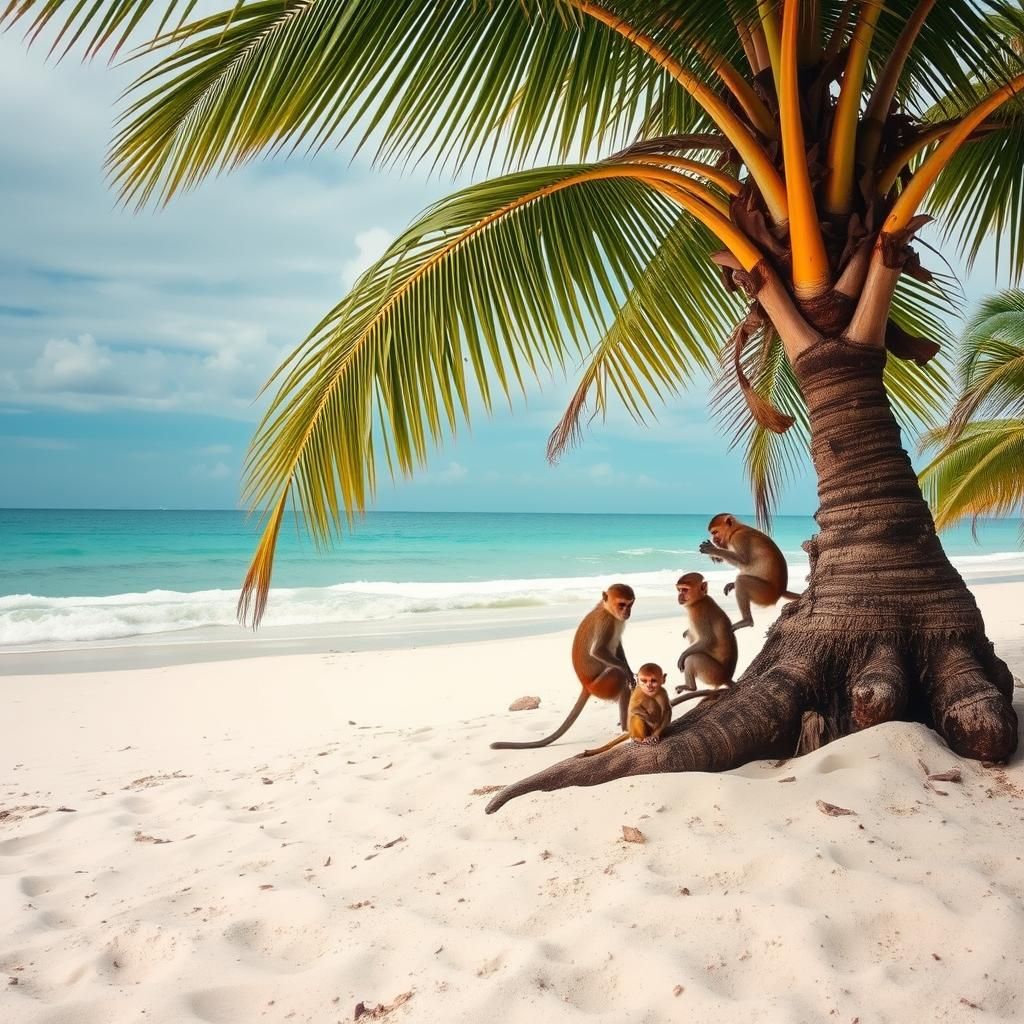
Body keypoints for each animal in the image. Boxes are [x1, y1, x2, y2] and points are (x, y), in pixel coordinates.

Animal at [490, 583, 635, 750]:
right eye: (622, 604)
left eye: (630, 604)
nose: (627, 612)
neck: (607, 610)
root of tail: (585, 686)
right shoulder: (605, 622)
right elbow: (597, 651)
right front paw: (625, 669)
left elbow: (618, 648)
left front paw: (629, 669)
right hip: (601, 686)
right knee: (618, 676)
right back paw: (625, 729)